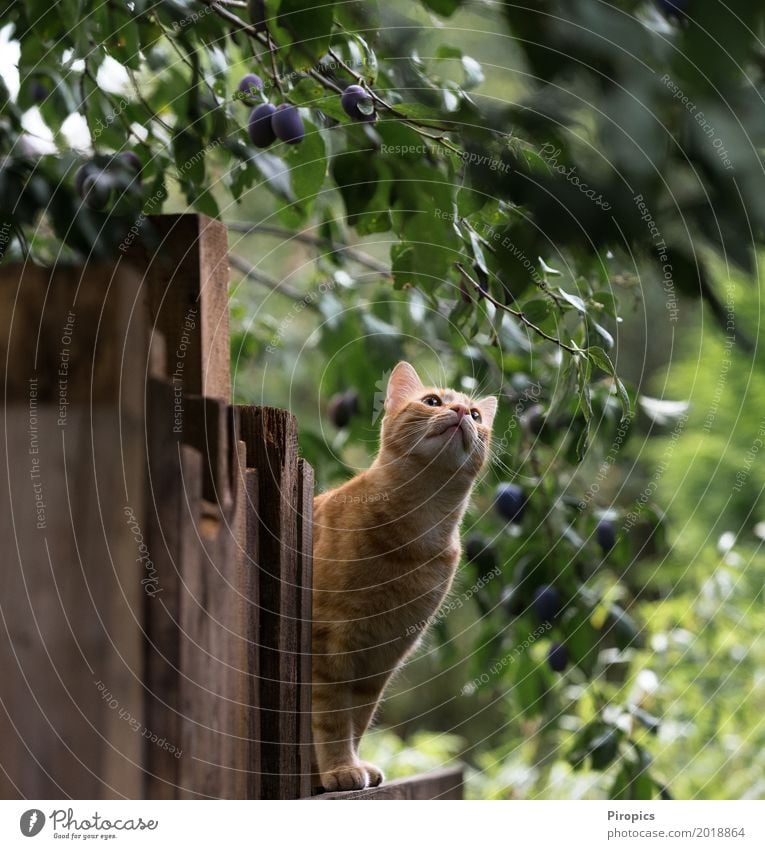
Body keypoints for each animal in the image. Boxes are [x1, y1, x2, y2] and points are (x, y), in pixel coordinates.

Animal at [310, 362, 496, 792]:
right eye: (432, 401)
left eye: (476, 415)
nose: (460, 413)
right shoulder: (330, 643)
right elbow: (331, 716)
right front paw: (338, 769)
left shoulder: (383, 655)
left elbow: (358, 717)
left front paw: (350, 763)